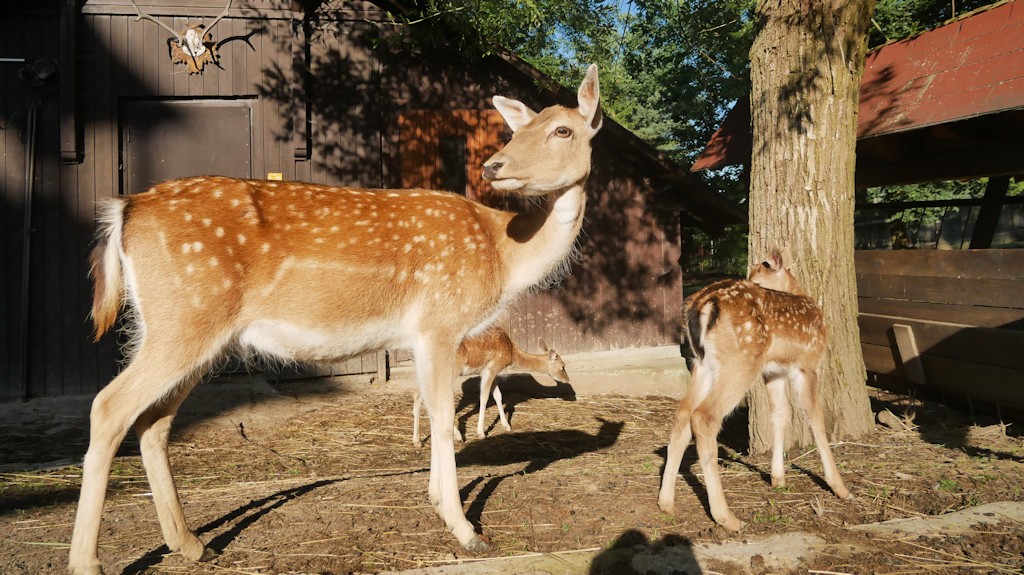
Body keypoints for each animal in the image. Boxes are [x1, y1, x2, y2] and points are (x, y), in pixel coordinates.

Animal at [70, 64, 598, 568]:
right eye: (519, 128)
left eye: (562, 130)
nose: (493, 165)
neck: (502, 255)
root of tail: (122, 210)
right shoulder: (439, 320)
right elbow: (444, 414)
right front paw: (465, 530)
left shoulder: (423, 335)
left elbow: (435, 408)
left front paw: (436, 501)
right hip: (184, 317)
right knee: (109, 407)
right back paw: (88, 561)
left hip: (191, 332)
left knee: (153, 421)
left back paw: (193, 545)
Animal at [659, 248, 851, 532]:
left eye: (757, 276)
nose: (751, 281)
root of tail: (702, 304)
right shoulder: (807, 364)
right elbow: (815, 418)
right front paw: (839, 487)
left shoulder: (774, 372)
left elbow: (780, 415)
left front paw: (777, 478)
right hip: (742, 361)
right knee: (704, 416)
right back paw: (727, 517)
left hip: (702, 364)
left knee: (683, 413)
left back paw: (666, 502)